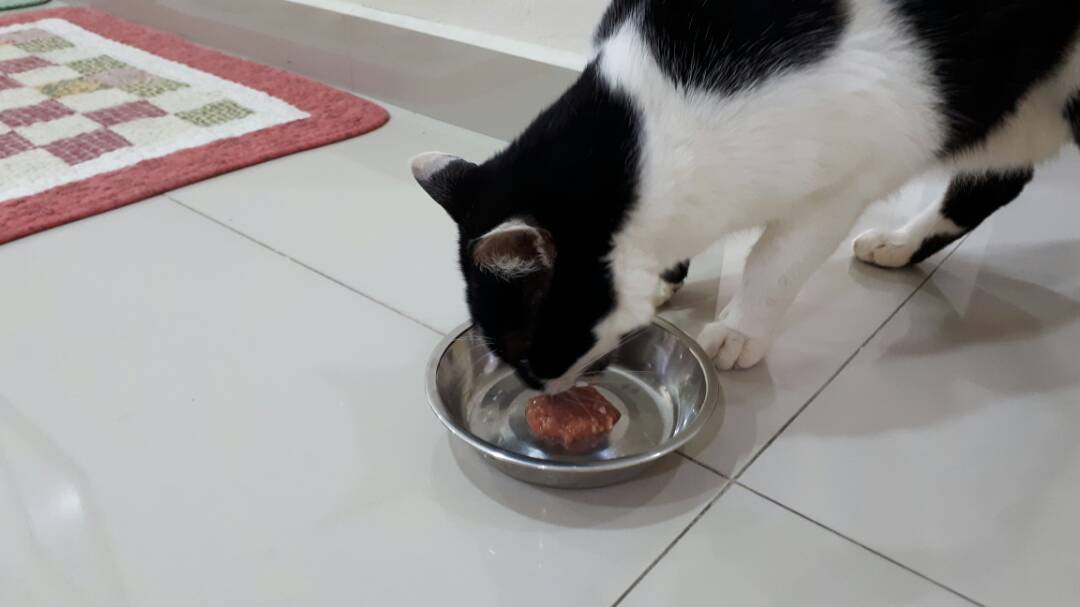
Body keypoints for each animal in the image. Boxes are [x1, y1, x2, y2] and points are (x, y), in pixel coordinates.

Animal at [412, 0, 1080, 394]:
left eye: (527, 350)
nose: (534, 389)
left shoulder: (847, 176)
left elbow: (773, 261)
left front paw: (739, 330)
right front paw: (665, 280)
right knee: (1002, 176)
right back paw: (898, 243)